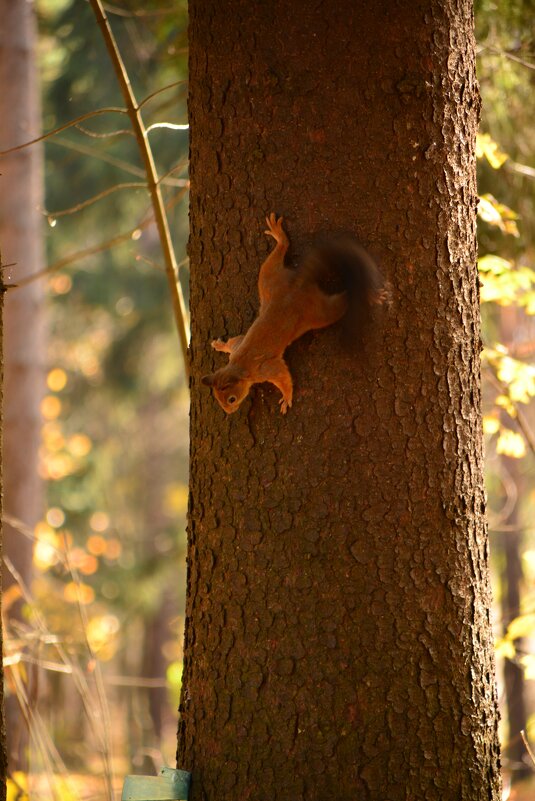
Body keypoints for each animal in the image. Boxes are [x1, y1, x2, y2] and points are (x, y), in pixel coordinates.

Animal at [202, 212, 386, 412]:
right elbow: (233, 342)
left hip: (317, 312)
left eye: (231, 399)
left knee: (342, 302)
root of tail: (296, 285)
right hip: (269, 279)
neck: (239, 367)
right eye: (218, 399)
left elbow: (283, 377)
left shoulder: (266, 368)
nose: (229, 412)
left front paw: (287, 397)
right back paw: (279, 236)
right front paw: (220, 345)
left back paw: (368, 295)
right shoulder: (237, 347)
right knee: (277, 256)